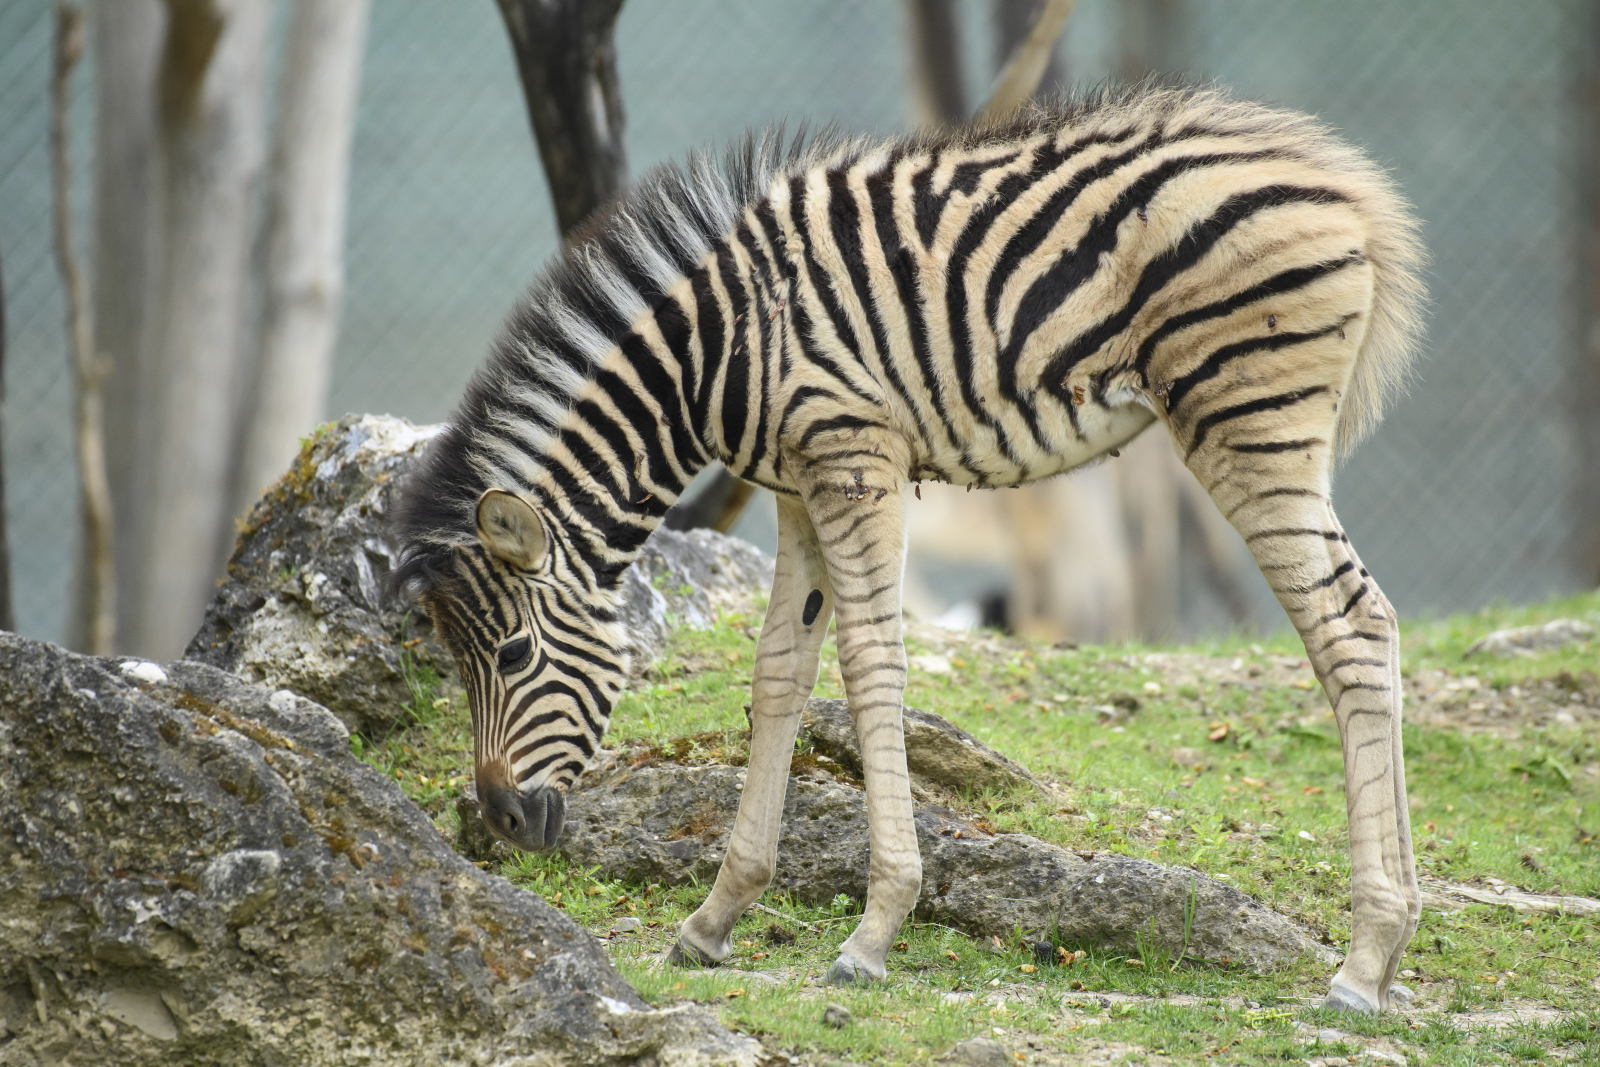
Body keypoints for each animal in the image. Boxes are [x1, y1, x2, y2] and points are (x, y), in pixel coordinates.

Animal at [396, 85, 1427, 1011]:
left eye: (512, 654)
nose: (498, 818)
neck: (720, 351)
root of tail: (1340, 187)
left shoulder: (854, 455)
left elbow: (870, 661)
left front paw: (872, 933)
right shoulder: (795, 484)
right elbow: (779, 670)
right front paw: (715, 917)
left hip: (1245, 421)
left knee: (1348, 628)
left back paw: (1362, 963)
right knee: (1375, 621)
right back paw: (1396, 942)